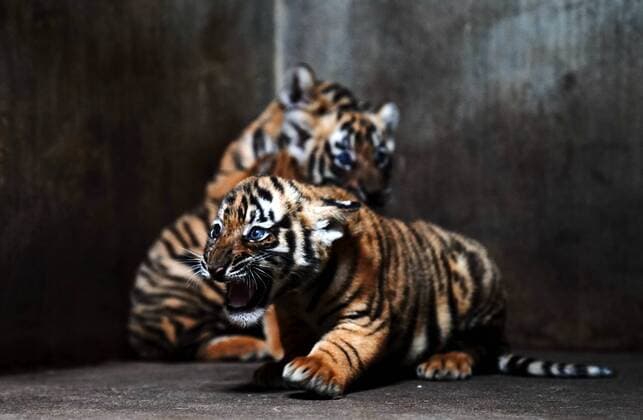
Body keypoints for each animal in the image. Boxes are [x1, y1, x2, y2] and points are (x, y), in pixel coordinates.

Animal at [128, 64, 400, 362]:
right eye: (344, 158)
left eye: (381, 157)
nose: (377, 194)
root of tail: (135, 332)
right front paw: (282, 347)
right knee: (193, 343)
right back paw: (250, 347)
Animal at [200, 176, 614, 398]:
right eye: (215, 231)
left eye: (256, 233)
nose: (214, 267)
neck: (298, 293)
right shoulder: (293, 319)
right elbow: (295, 341)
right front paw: (276, 366)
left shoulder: (365, 317)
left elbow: (341, 344)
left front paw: (315, 369)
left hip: (477, 281)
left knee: (477, 345)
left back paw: (446, 362)